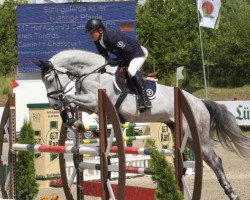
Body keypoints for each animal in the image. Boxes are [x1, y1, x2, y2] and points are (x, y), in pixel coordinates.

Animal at [34, 48, 250, 200]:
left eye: (50, 78)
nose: (53, 103)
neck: (91, 72)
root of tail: (199, 102)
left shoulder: (95, 100)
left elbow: (69, 97)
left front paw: (71, 118)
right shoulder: (89, 104)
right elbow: (71, 102)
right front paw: (74, 122)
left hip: (197, 134)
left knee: (214, 160)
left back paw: (231, 193)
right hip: (183, 135)